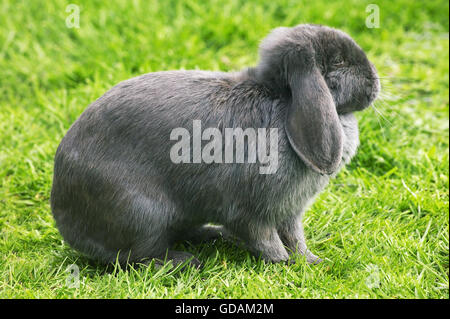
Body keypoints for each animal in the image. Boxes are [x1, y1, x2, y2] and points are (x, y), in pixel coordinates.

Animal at [51, 23, 378, 268]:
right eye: (339, 61)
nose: (374, 83)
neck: (284, 101)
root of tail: (65, 216)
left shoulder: (289, 211)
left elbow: (295, 237)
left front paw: (311, 260)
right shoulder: (252, 209)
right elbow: (265, 238)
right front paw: (282, 263)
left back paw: (214, 236)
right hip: (142, 214)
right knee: (136, 256)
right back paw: (183, 261)